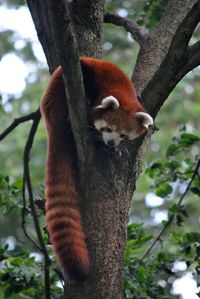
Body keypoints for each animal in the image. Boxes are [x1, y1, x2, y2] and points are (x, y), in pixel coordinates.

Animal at [40, 56, 153, 284]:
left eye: (123, 135)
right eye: (108, 129)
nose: (110, 143)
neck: (120, 89)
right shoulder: (91, 74)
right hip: (58, 92)